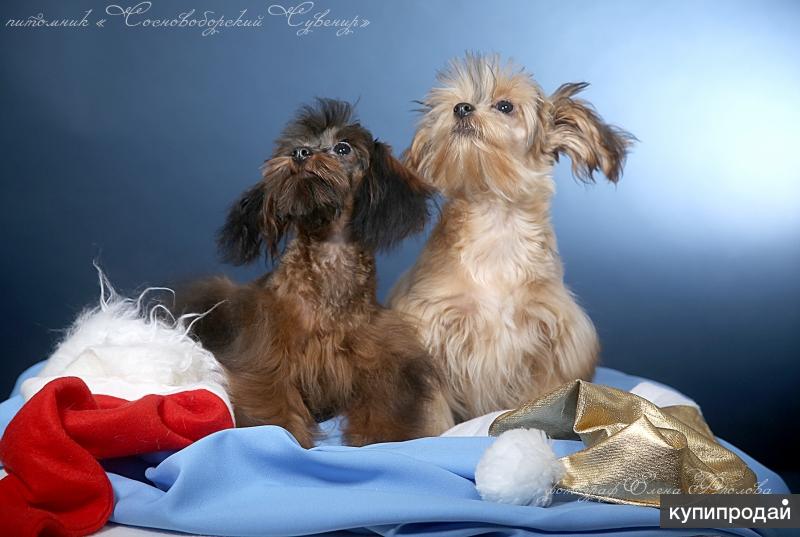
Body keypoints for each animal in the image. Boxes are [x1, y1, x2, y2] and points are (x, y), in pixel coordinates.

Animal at [177, 98, 438, 446]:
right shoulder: (267, 353)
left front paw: (381, 436)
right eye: (296, 146)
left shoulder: (383, 358)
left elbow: (386, 403)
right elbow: (273, 399)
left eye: (343, 148)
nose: (300, 154)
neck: (329, 259)